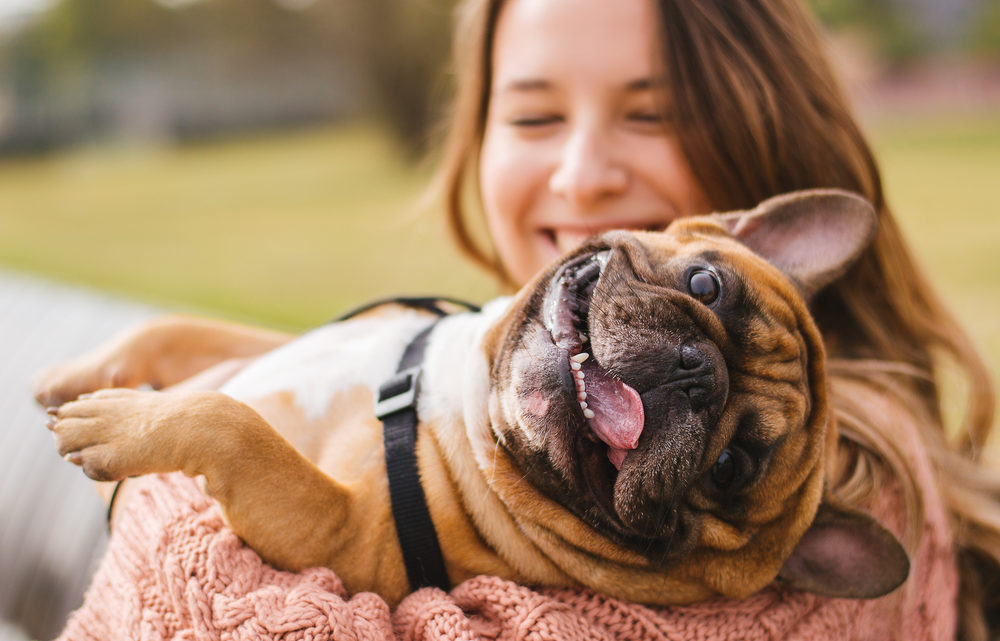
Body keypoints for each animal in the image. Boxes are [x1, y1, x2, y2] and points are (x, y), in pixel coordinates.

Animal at [37, 189, 908, 604]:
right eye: (705, 284)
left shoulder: (335, 532)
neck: (456, 395)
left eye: (730, 466)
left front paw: (114, 423)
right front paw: (82, 374)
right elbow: (180, 331)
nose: (697, 372)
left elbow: (233, 424)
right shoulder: (271, 347)